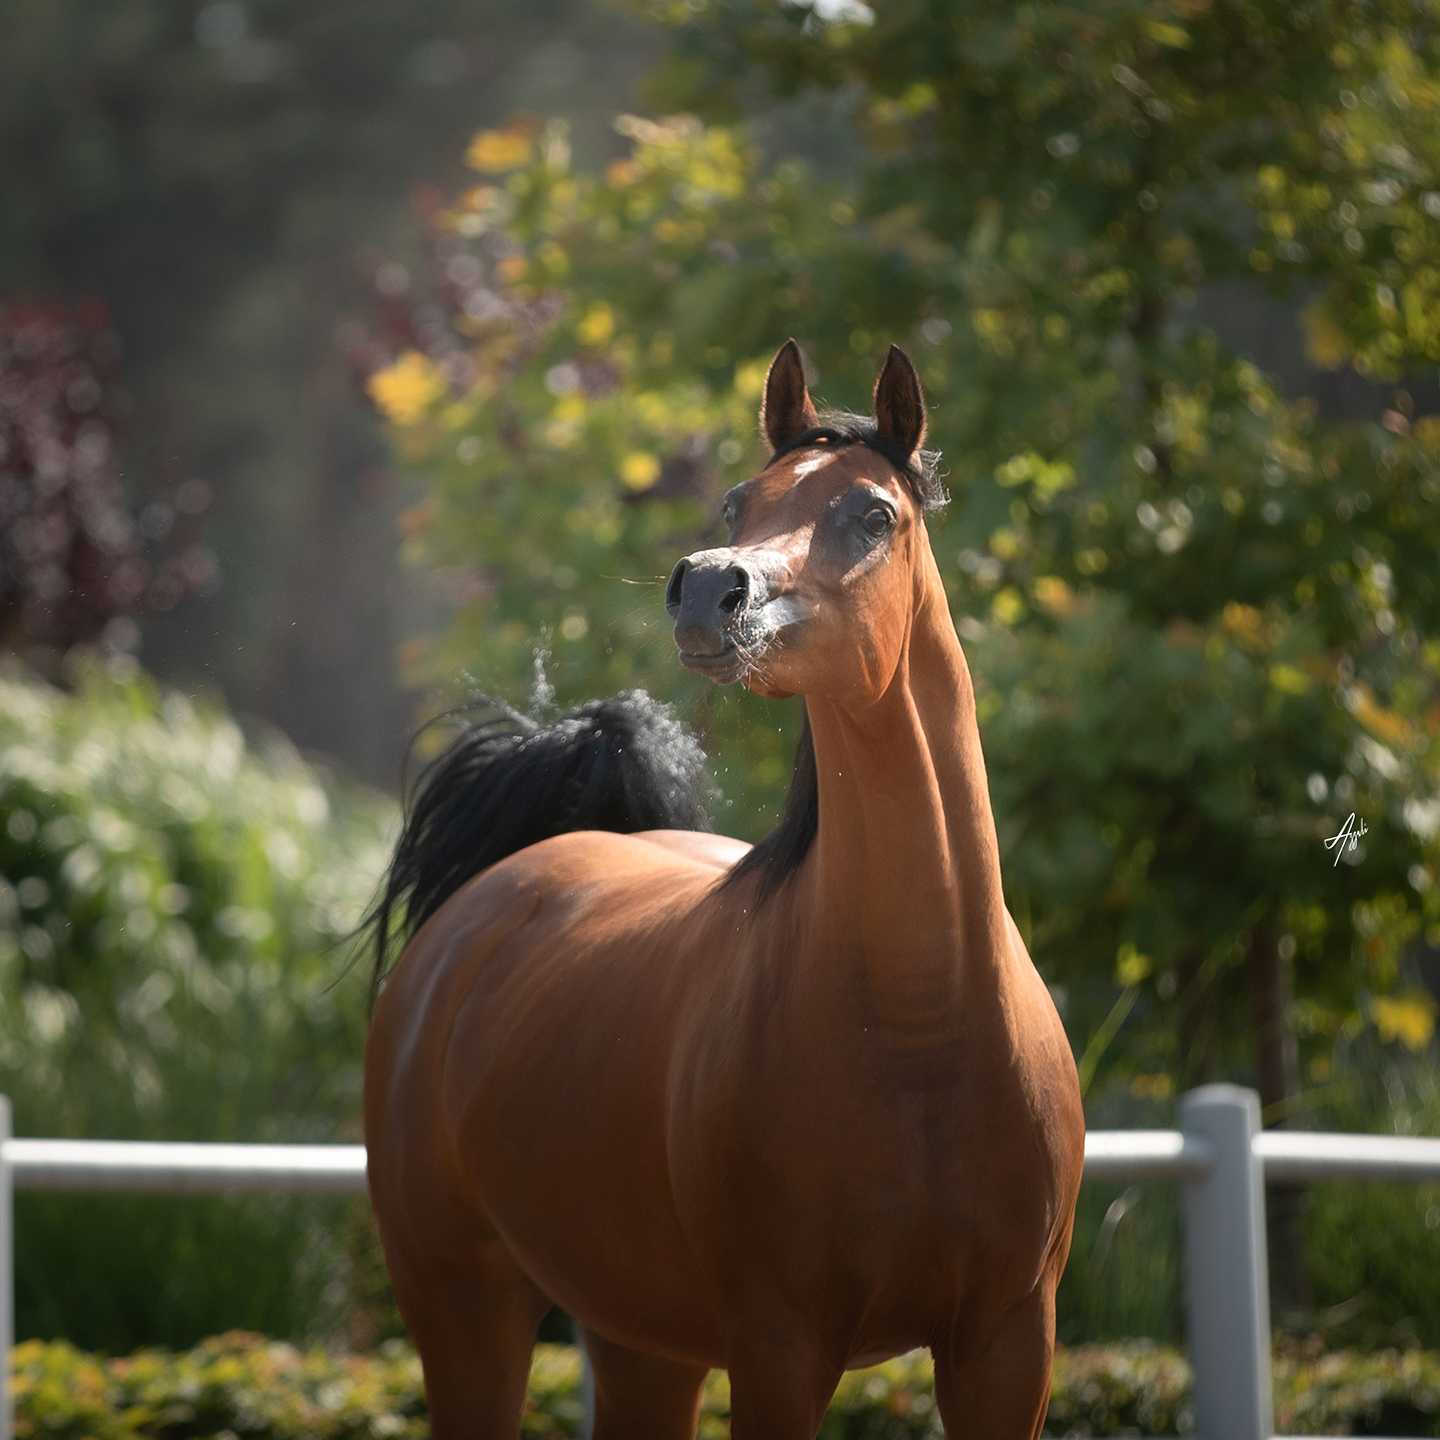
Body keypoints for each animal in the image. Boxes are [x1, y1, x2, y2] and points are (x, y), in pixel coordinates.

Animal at [362, 340, 1085, 1438]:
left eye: (872, 514)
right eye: (741, 502)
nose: (709, 591)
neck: (926, 1026)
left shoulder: (1008, 1346)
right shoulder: (780, 1348)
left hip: (639, 1339)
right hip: (463, 1307)